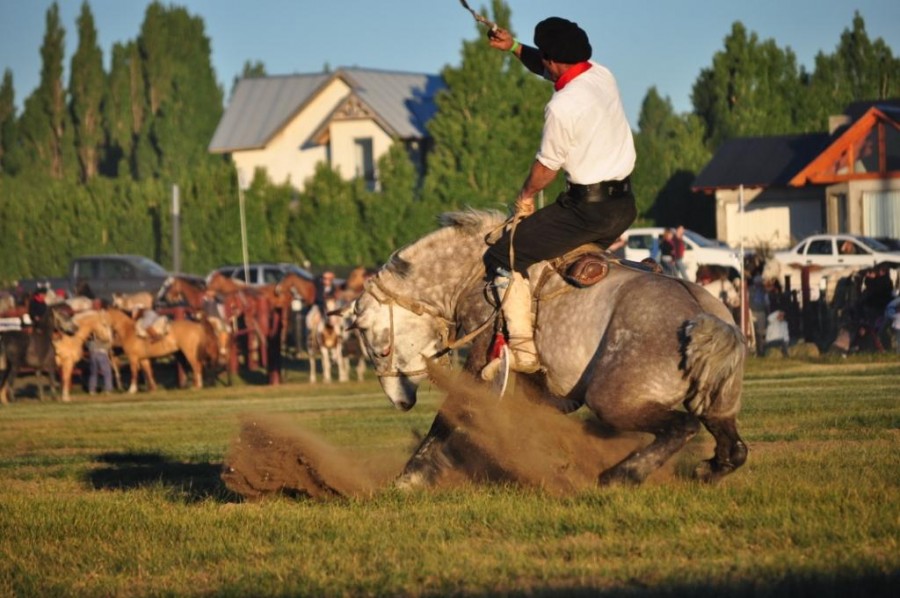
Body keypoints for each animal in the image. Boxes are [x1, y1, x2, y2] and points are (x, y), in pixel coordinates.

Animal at [344, 213, 744, 490]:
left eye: (377, 346)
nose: (400, 402)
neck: (475, 273)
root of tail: (704, 316)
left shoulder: (484, 349)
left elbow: (452, 412)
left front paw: (411, 477)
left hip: (614, 401)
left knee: (682, 426)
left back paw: (621, 474)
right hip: (718, 404)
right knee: (734, 448)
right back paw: (708, 470)